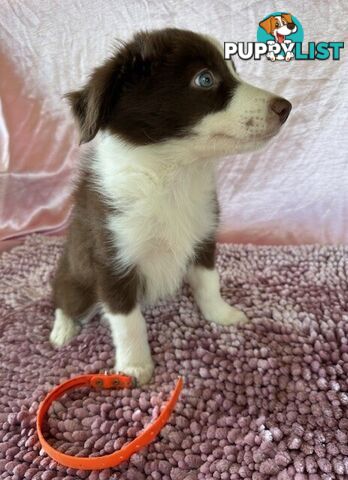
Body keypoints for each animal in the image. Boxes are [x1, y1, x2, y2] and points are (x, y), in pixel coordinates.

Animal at [50, 28, 292, 384]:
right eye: (205, 79)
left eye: (234, 69)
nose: (286, 107)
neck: (172, 175)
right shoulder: (111, 261)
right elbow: (128, 321)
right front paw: (135, 366)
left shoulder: (204, 236)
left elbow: (209, 283)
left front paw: (221, 315)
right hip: (77, 278)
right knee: (64, 299)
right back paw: (63, 329)